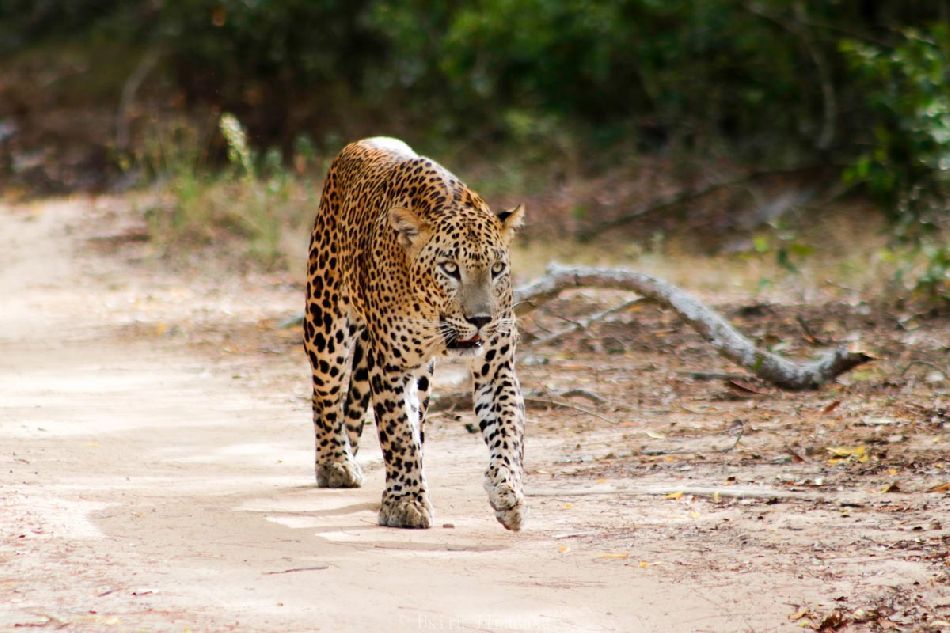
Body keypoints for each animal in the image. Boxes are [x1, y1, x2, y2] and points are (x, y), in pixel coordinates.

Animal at [304, 137, 528, 528]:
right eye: (450, 268)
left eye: (497, 268)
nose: (481, 319)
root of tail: (358, 144)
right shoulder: (389, 366)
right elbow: (398, 435)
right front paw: (406, 503)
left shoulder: (497, 369)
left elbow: (507, 430)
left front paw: (507, 491)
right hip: (325, 324)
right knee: (326, 395)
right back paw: (336, 464)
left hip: (421, 374)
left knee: (416, 415)